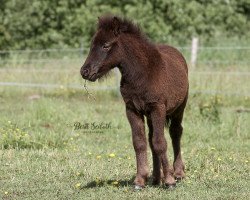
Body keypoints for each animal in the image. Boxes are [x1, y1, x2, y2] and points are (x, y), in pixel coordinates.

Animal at [81, 16, 188, 189]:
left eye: (106, 45)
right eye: (92, 45)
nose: (85, 71)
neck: (142, 74)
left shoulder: (158, 108)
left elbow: (160, 142)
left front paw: (170, 181)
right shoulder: (132, 109)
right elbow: (140, 142)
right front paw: (140, 181)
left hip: (179, 109)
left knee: (175, 133)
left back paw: (177, 173)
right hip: (150, 116)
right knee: (151, 139)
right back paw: (156, 178)